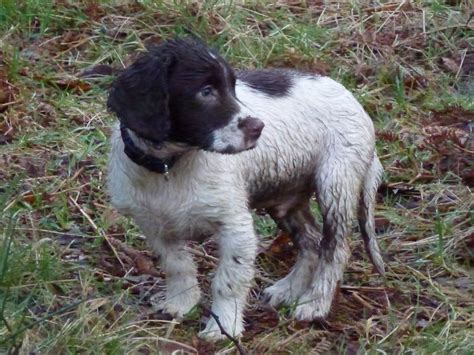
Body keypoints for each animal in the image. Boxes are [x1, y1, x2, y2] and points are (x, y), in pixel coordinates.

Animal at [107, 37, 386, 340]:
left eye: (232, 87)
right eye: (206, 92)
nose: (258, 127)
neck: (171, 165)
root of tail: (360, 109)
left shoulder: (234, 226)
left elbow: (228, 280)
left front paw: (224, 327)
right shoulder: (155, 225)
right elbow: (176, 265)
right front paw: (180, 304)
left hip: (336, 182)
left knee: (334, 249)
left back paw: (314, 304)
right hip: (286, 198)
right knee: (311, 241)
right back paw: (288, 290)